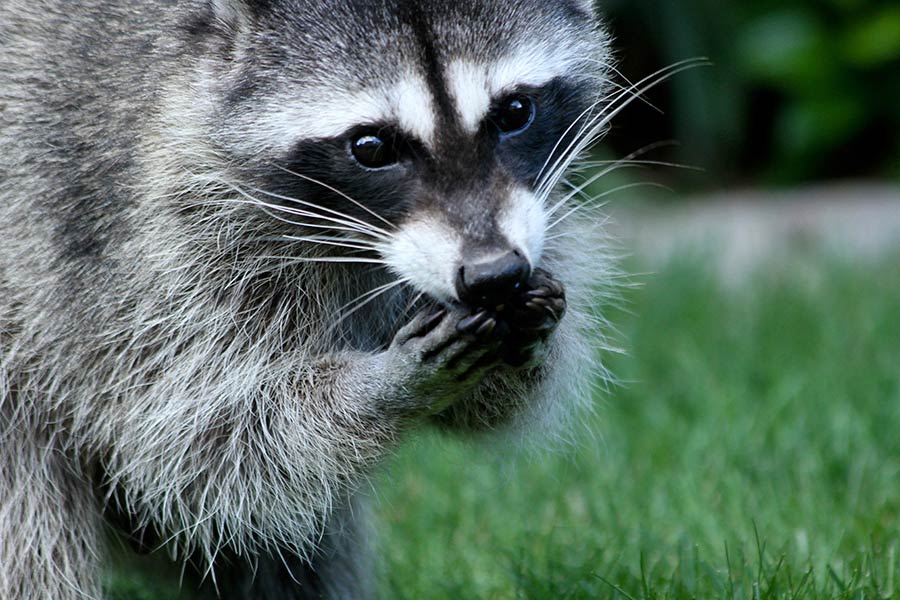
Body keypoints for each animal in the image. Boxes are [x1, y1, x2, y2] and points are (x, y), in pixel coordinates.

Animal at [0, 0, 616, 596]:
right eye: (371, 146)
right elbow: (200, 441)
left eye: (514, 112)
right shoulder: (133, 243)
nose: (494, 275)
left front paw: (529, 343)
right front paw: (386, 385)